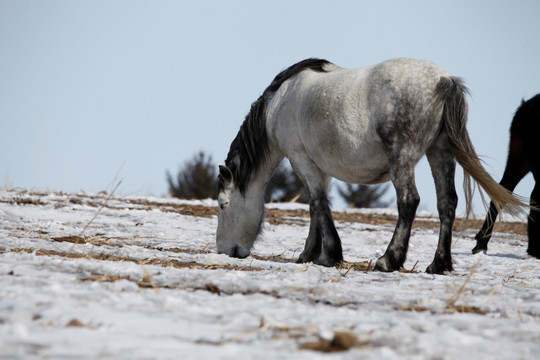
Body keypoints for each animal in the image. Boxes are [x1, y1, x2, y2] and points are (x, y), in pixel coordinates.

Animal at [214, 58, 524, 272]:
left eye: (222, 205)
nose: (223, 249)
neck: (280, 103)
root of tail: (443, 80)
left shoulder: (300, 157)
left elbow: (318, 203)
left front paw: (329, 255)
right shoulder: (319, 165)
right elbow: (317, 204)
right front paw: (310, 254)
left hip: (402, 157)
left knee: (408, 201)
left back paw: (388, 260)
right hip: (441, 152)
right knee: (447, 203)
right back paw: (439, 264)